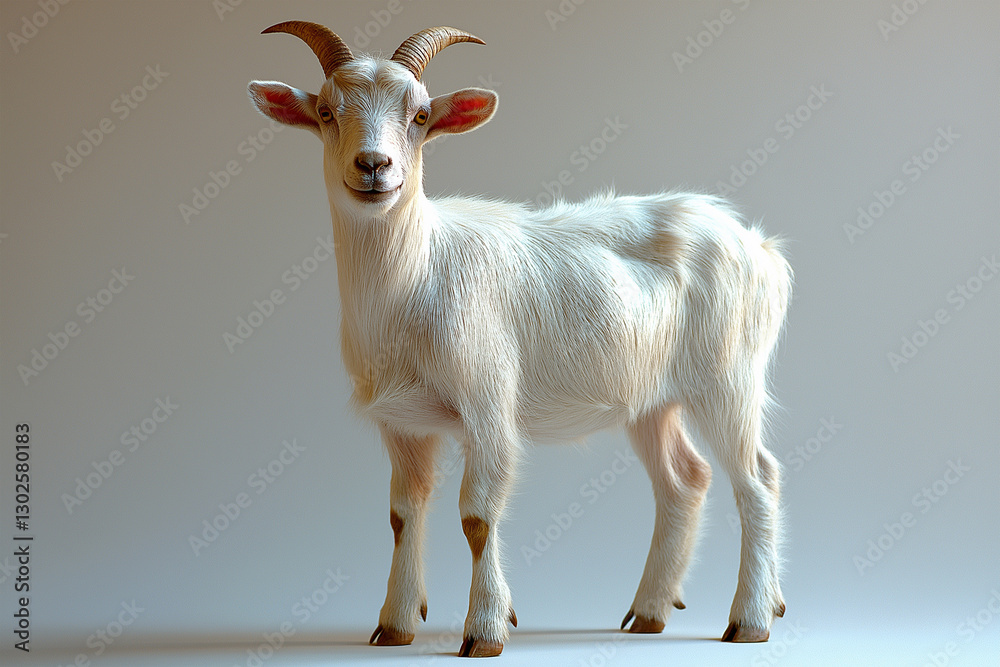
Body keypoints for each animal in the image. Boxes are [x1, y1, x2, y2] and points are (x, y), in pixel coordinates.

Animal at [249, 22, 791, 658]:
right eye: (327, 112)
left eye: (422, 115)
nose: (374, 165)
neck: (417, 273)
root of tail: (760, 247)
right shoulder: (402, 422)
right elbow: (403, 513)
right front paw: (395, 624)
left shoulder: (487, 401)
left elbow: (478, 517)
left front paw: (484, 629)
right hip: (651, 398)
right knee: (684, 479)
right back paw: (650, 611)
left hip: (729, 376)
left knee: (757, 479)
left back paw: (751, 619)